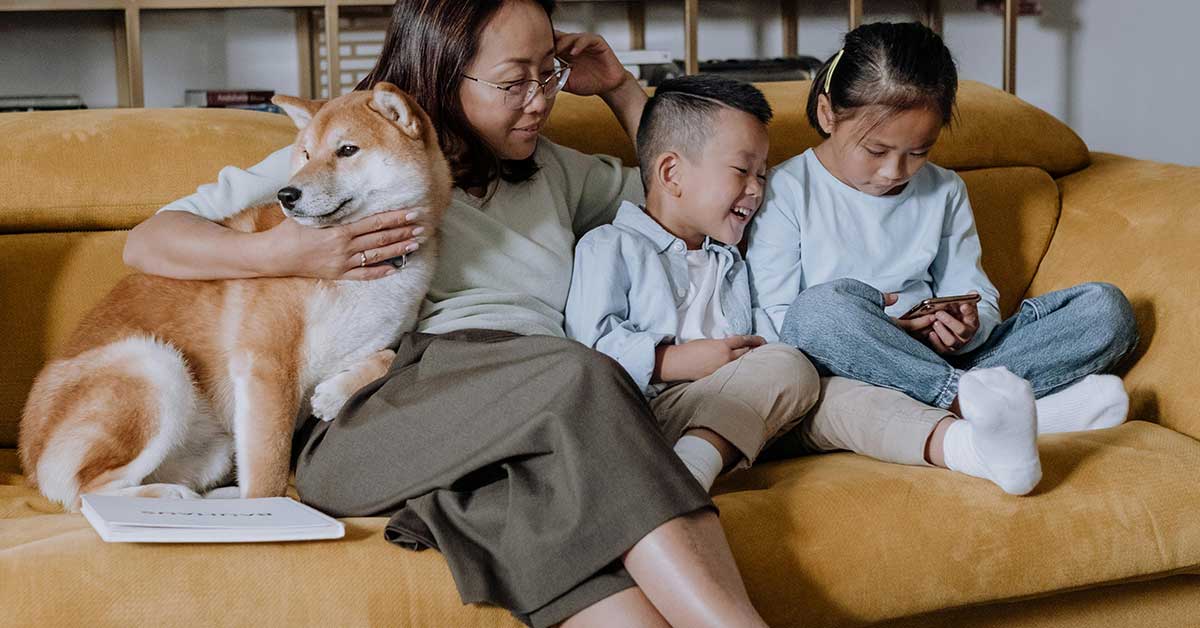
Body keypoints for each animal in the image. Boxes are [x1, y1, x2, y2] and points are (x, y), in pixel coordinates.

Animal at [18, 82, 451, 510]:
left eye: (347, 150)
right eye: (305, 153)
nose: (286, 194)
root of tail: (29, 455)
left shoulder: (376, 340)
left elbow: (389, 356)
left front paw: (333, 394)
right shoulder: (268, 367)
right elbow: (269, 473)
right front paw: (269, 512)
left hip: (218, 446)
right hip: (154, 365)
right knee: (87, 491)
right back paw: (175, 499)